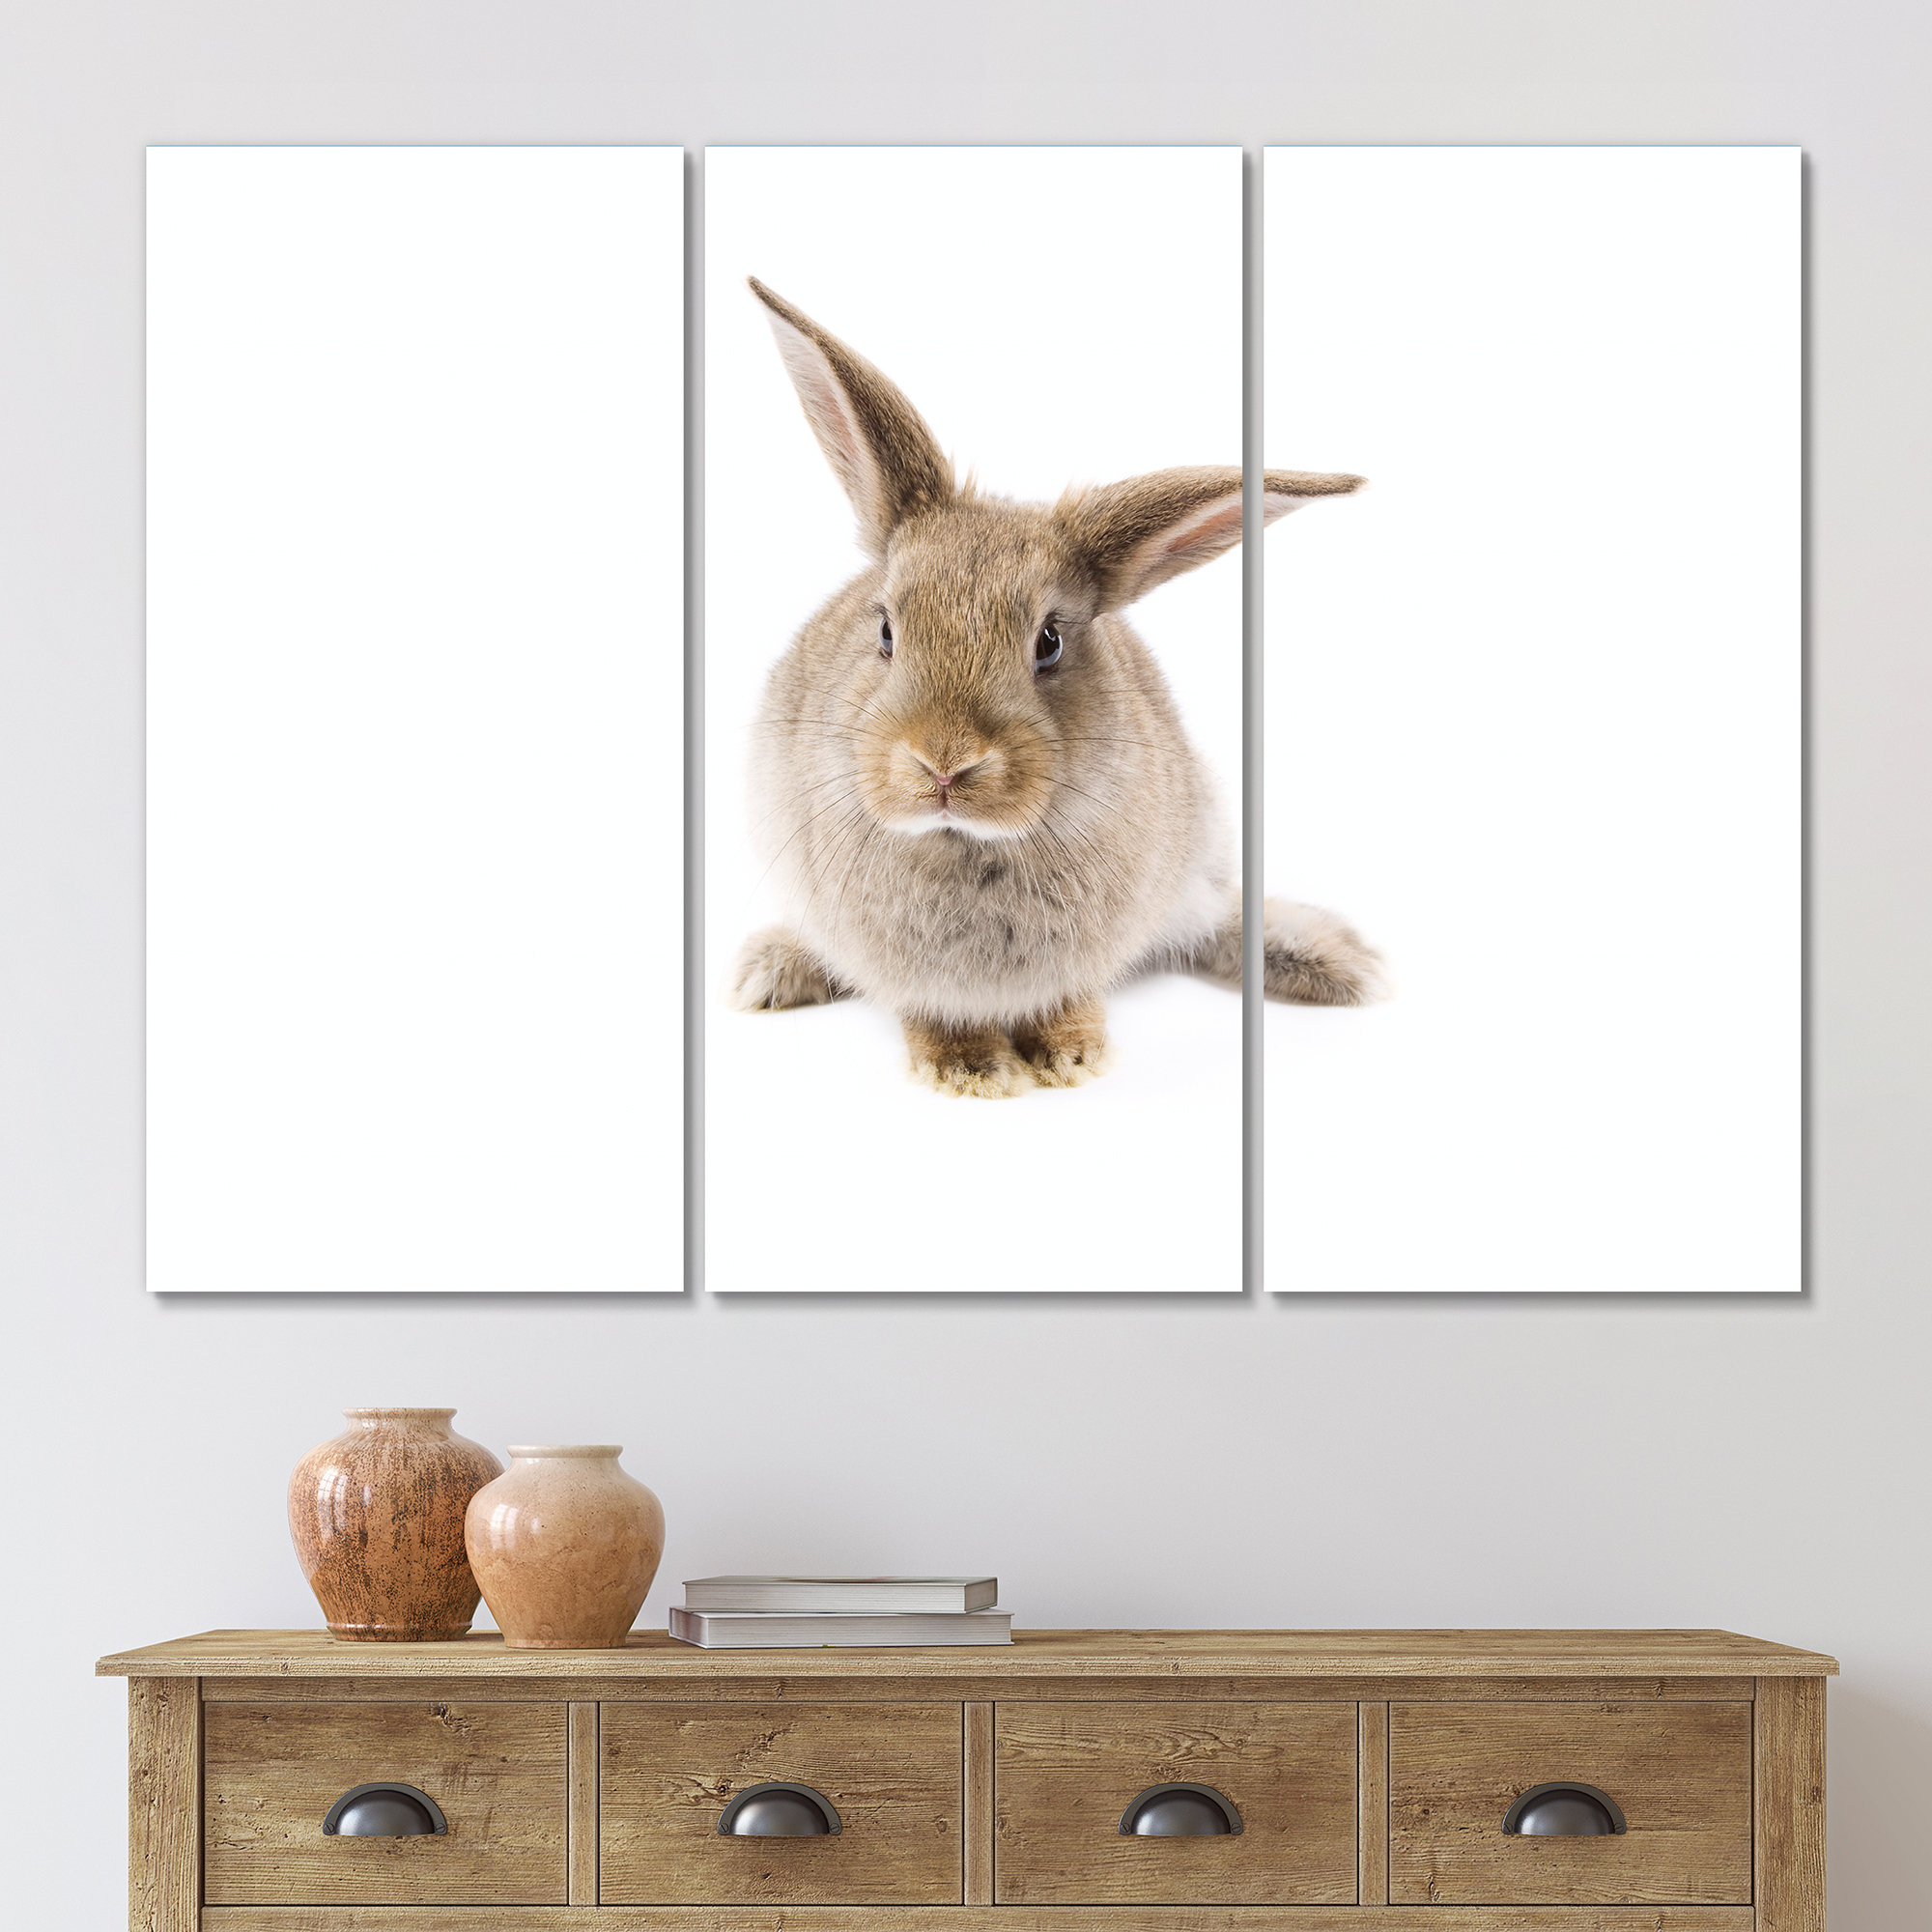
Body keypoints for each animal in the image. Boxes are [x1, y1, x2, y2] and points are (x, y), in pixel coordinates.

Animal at [728, 278, 1384, 1097]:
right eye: (884, 629)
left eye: (1050, 642)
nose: (945, 764)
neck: (964, 844)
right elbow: (934, 1013)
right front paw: (972, 1070)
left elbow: (1067, 1000)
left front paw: (1072, 1055)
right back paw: (770, 972)